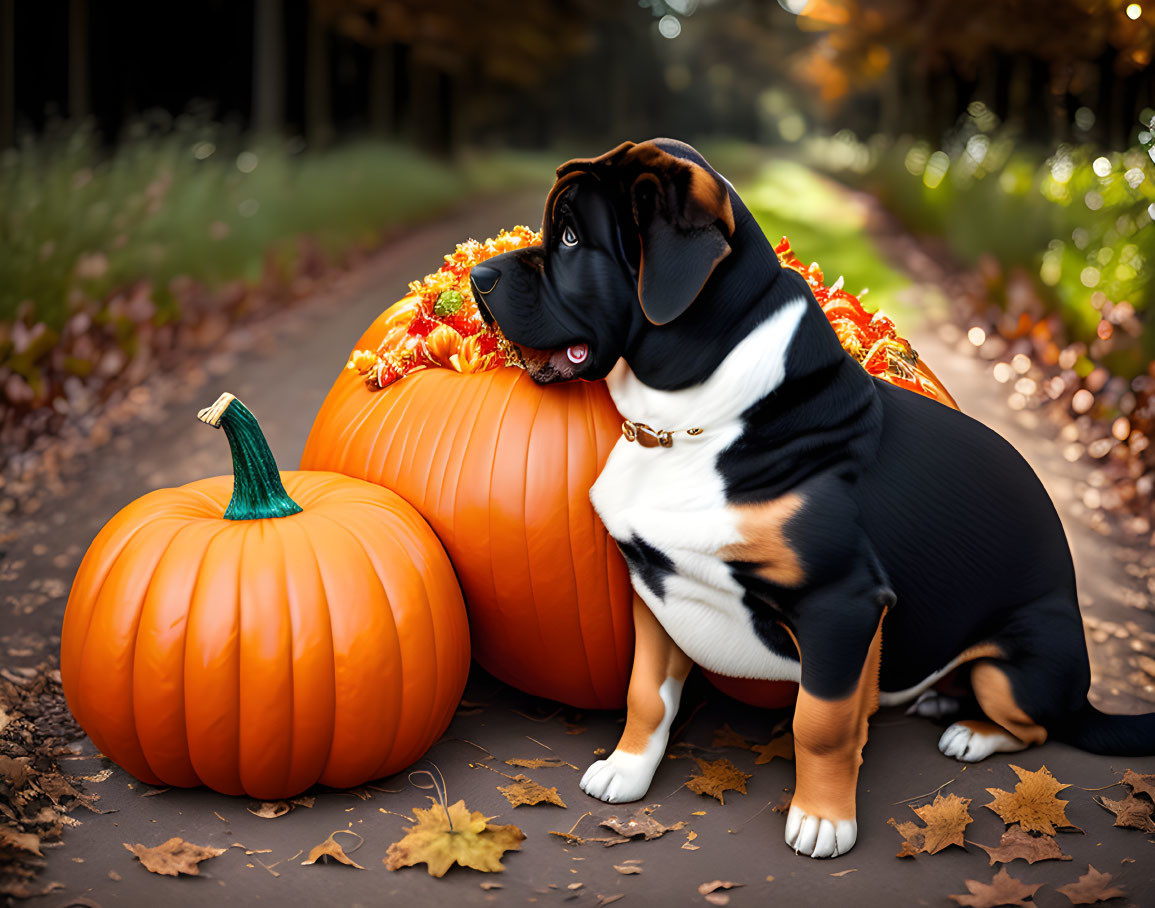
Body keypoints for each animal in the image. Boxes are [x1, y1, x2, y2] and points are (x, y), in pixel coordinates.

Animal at [468, 138, 1155, 854]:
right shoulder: (655, 587)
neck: (689, 422)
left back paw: (971, 730)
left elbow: (819, 724)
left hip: (1017, 667)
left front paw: (824, 819)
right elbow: (647, 693)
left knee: (1036, 723)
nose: (477, 276)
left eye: (572, 238)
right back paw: (942, 698)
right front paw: (627, 770)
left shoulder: (841, 604)